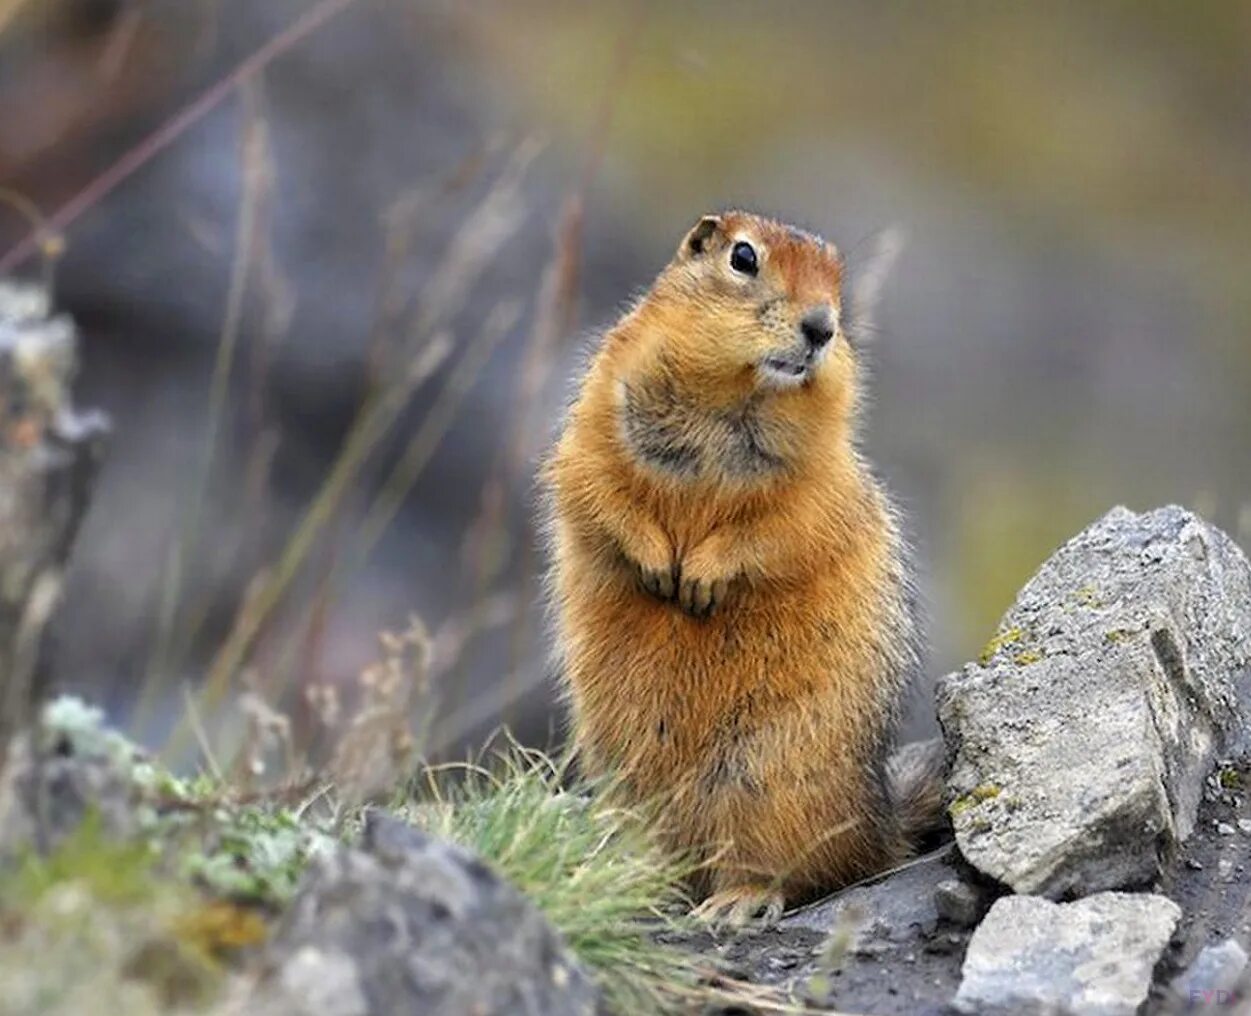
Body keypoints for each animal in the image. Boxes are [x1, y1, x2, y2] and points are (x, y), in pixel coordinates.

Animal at [542, 210, 940, 925]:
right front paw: (656, 563)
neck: (736, 393)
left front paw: (699, 575)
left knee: (789, 865)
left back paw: (736, 900)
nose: (822, 327)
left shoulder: (821, 479)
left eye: (838, 278)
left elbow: (778, 527)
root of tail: (879, 823)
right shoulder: (599, 405)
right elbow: (592, 484)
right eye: (743, 257)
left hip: (769, 774)